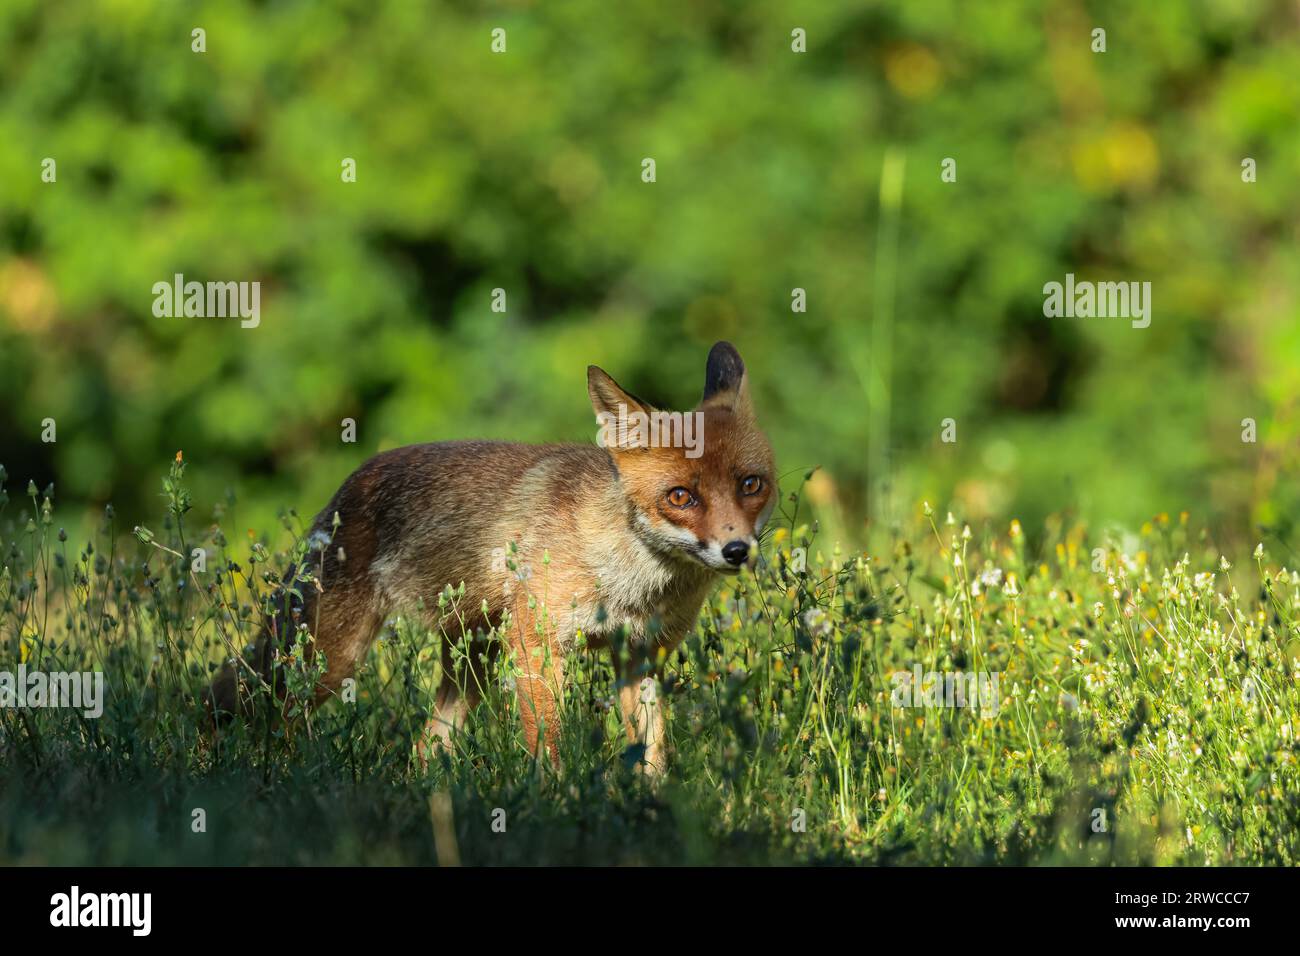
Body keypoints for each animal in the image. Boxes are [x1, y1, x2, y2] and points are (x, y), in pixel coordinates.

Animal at [206, 341, 776, 775]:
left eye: (751, 485)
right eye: (681, 496)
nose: (737, 550)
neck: (630, 582)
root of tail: (349, 482)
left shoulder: (641, 656)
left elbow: (653, 752)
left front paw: (654, 810)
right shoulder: (536, 646)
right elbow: (548, 745)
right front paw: (558, 803)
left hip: (470, 664)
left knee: (426, 746)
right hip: (328, 660)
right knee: (260, 711)